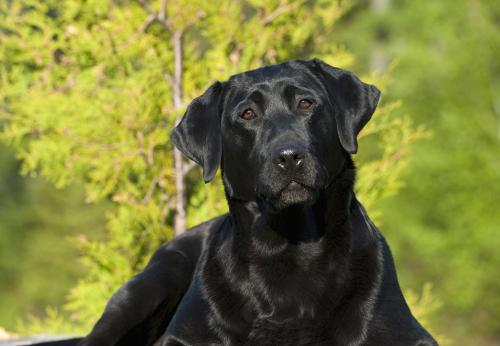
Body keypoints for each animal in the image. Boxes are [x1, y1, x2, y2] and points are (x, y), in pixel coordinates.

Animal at [79, 59, 438, 346]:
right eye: (247, 114)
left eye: (306, 103)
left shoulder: (408, 334)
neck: (288, 246)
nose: (289, 156)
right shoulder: (182, 338)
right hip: (149, 284)